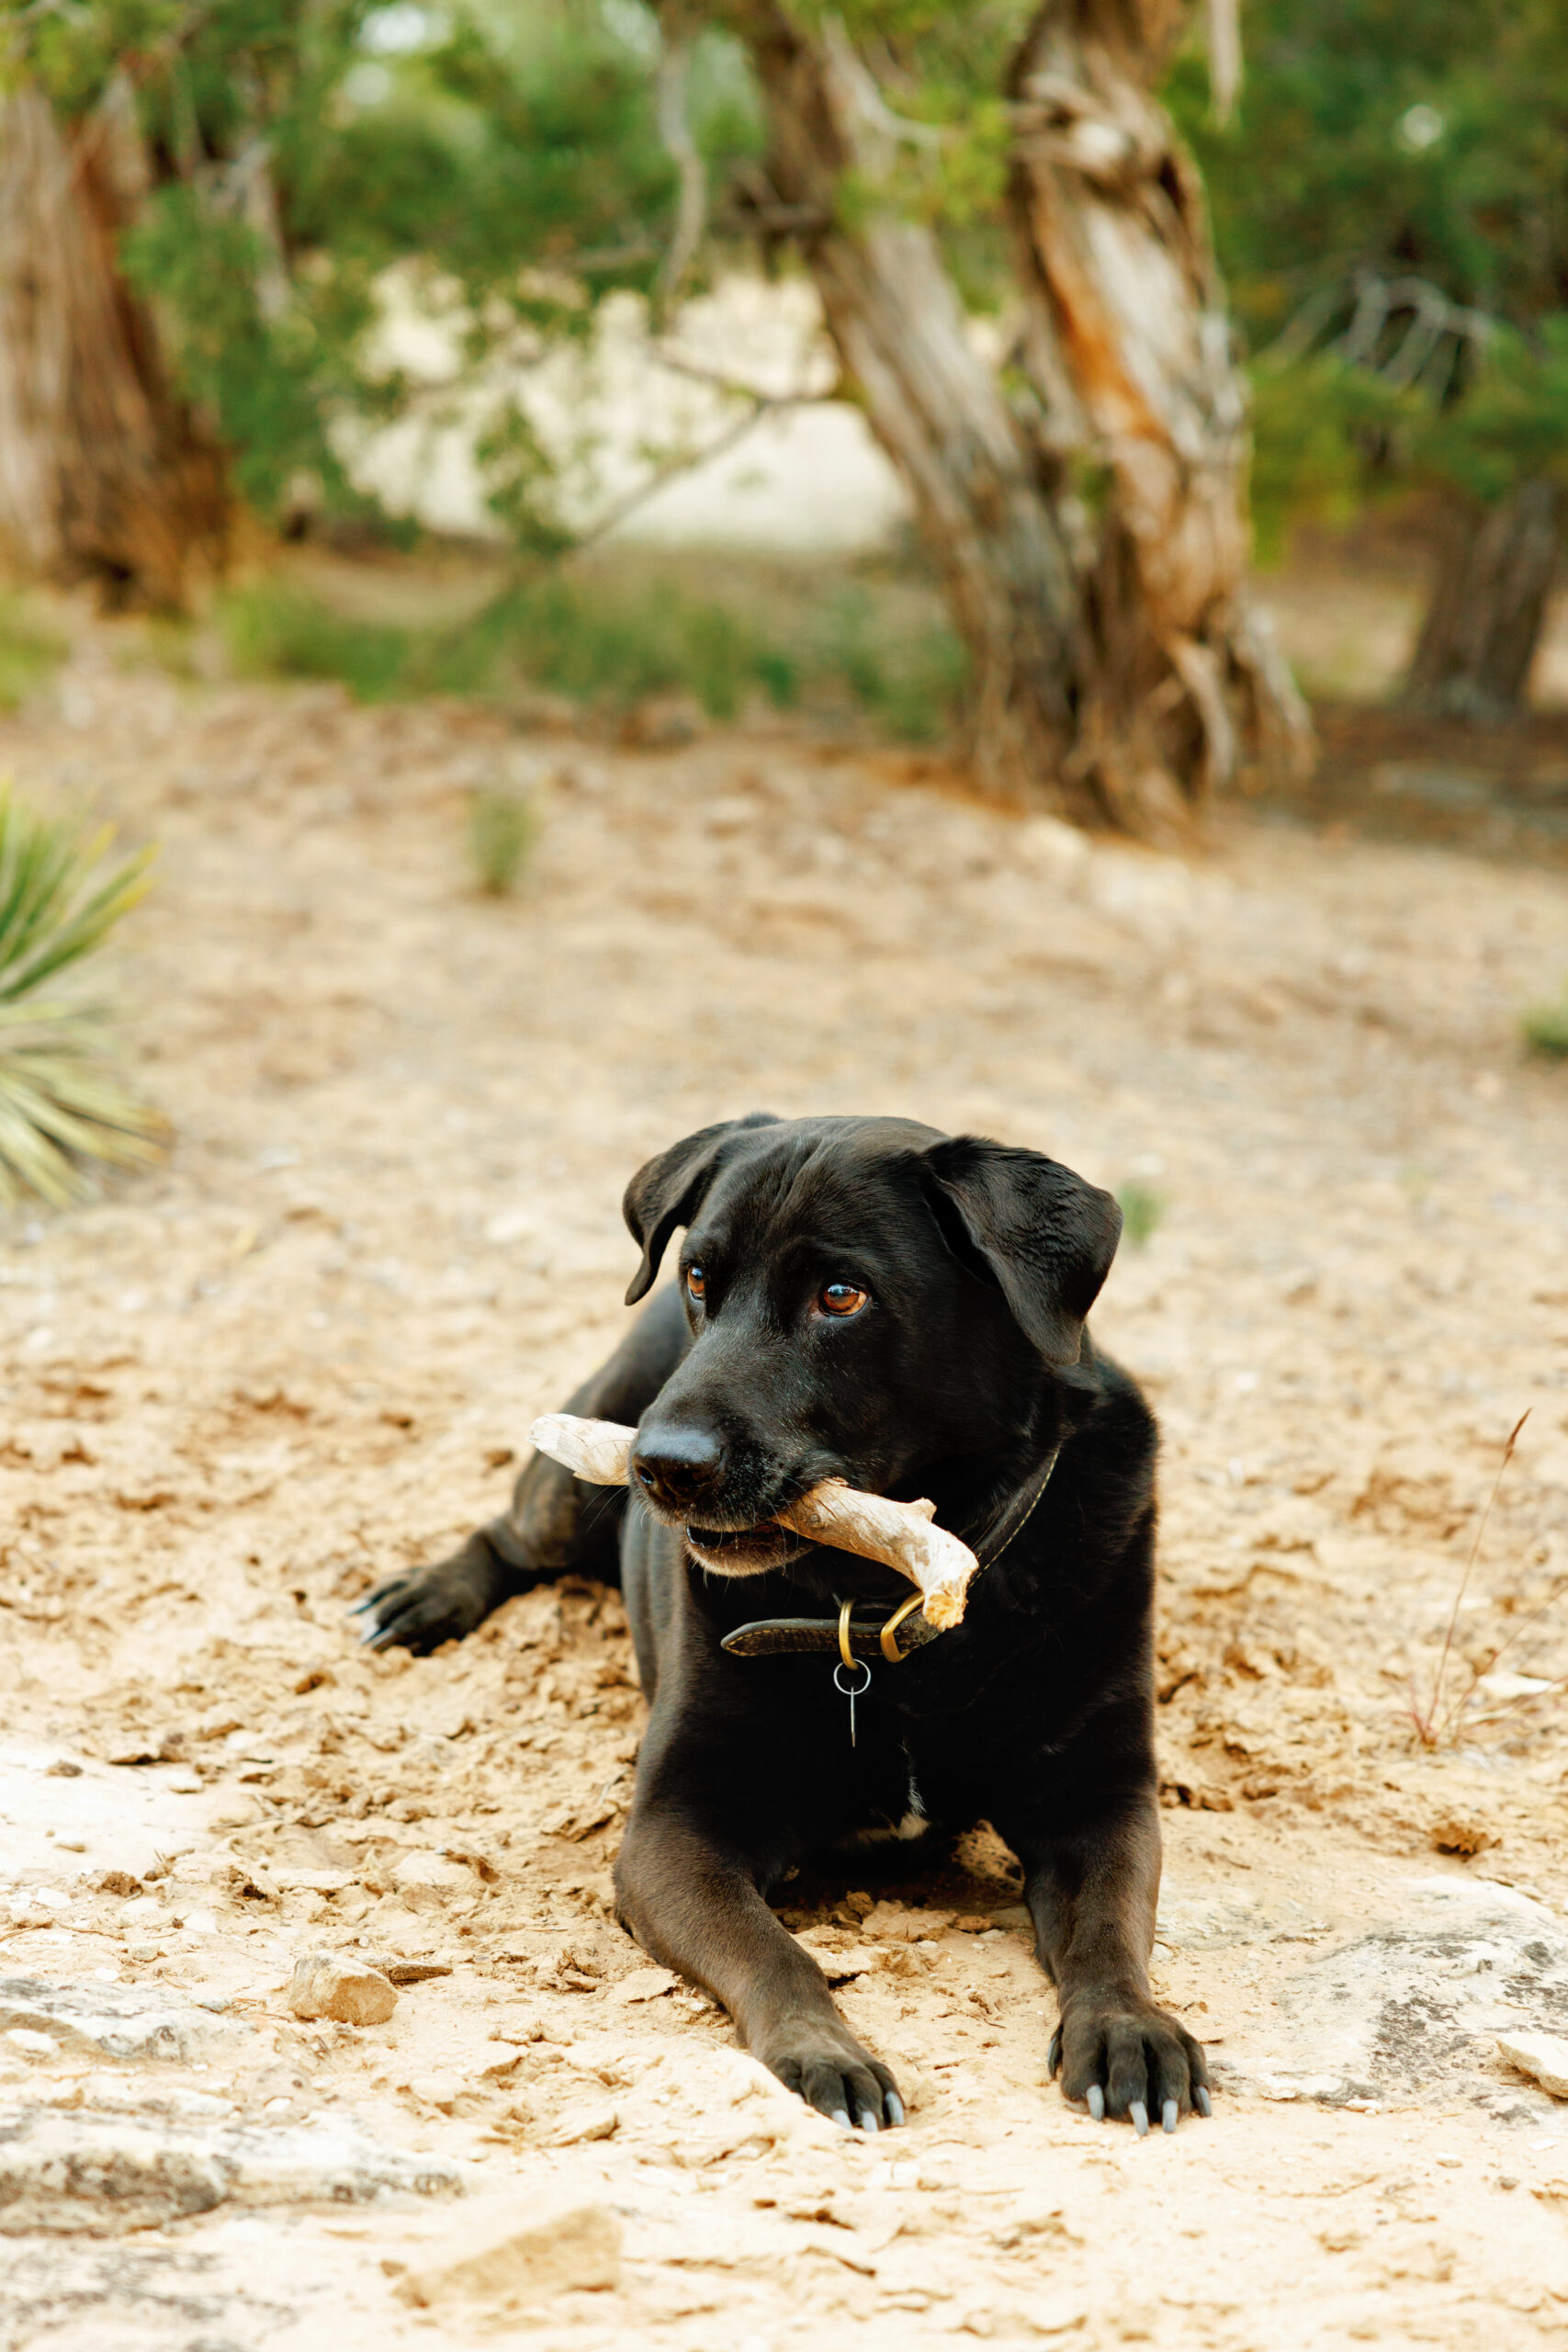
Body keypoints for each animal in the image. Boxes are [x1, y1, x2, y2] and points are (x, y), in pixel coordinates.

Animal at [359, 1110, 1213, 2144]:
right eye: (699, 1278)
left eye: (841, 1296)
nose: (661, 1467)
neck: (884, 1604)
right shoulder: (676, 1829)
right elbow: (778, 1954)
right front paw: (823, 2054)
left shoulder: (1098, 1800)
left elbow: (1109, 1936)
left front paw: (1130, 2028)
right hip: (577, 1472)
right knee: (509, 1535)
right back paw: (423, 1598)